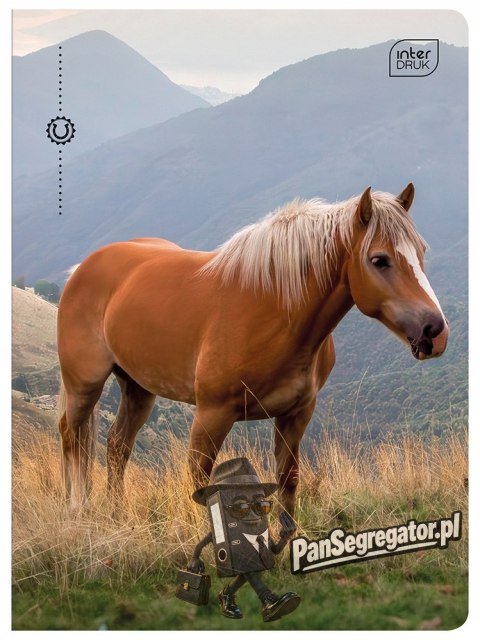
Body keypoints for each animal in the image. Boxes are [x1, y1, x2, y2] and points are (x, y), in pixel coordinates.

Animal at [57, 183, 449, 517]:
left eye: (421, 252)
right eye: (379, 259)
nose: (435, 332)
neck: (273, 307)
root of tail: (82, 269)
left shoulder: (296, 415)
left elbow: (288, 481)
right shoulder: (212, 413)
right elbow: (200, 482)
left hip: (138, 388)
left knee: (116, 446)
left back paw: (117, 514)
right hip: (84, 385)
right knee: (72, 438)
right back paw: (78, 510)